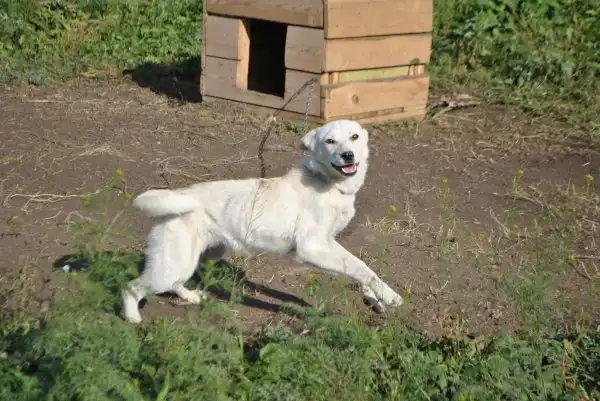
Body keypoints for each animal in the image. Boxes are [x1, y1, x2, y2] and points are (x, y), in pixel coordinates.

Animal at [122, 119, 404, 323]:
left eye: (354, 137)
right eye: (330, 141)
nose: (348, 155)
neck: (327, 182)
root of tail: (179, 196)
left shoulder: (328, 245)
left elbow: (359, 270)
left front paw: (376, 298)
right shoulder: (313, 248)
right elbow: (360, 267)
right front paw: (390, 296)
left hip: (200, 256)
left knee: (177, 283)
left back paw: (189, 296)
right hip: (172, 266)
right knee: (131, 288)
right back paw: (132, 319)